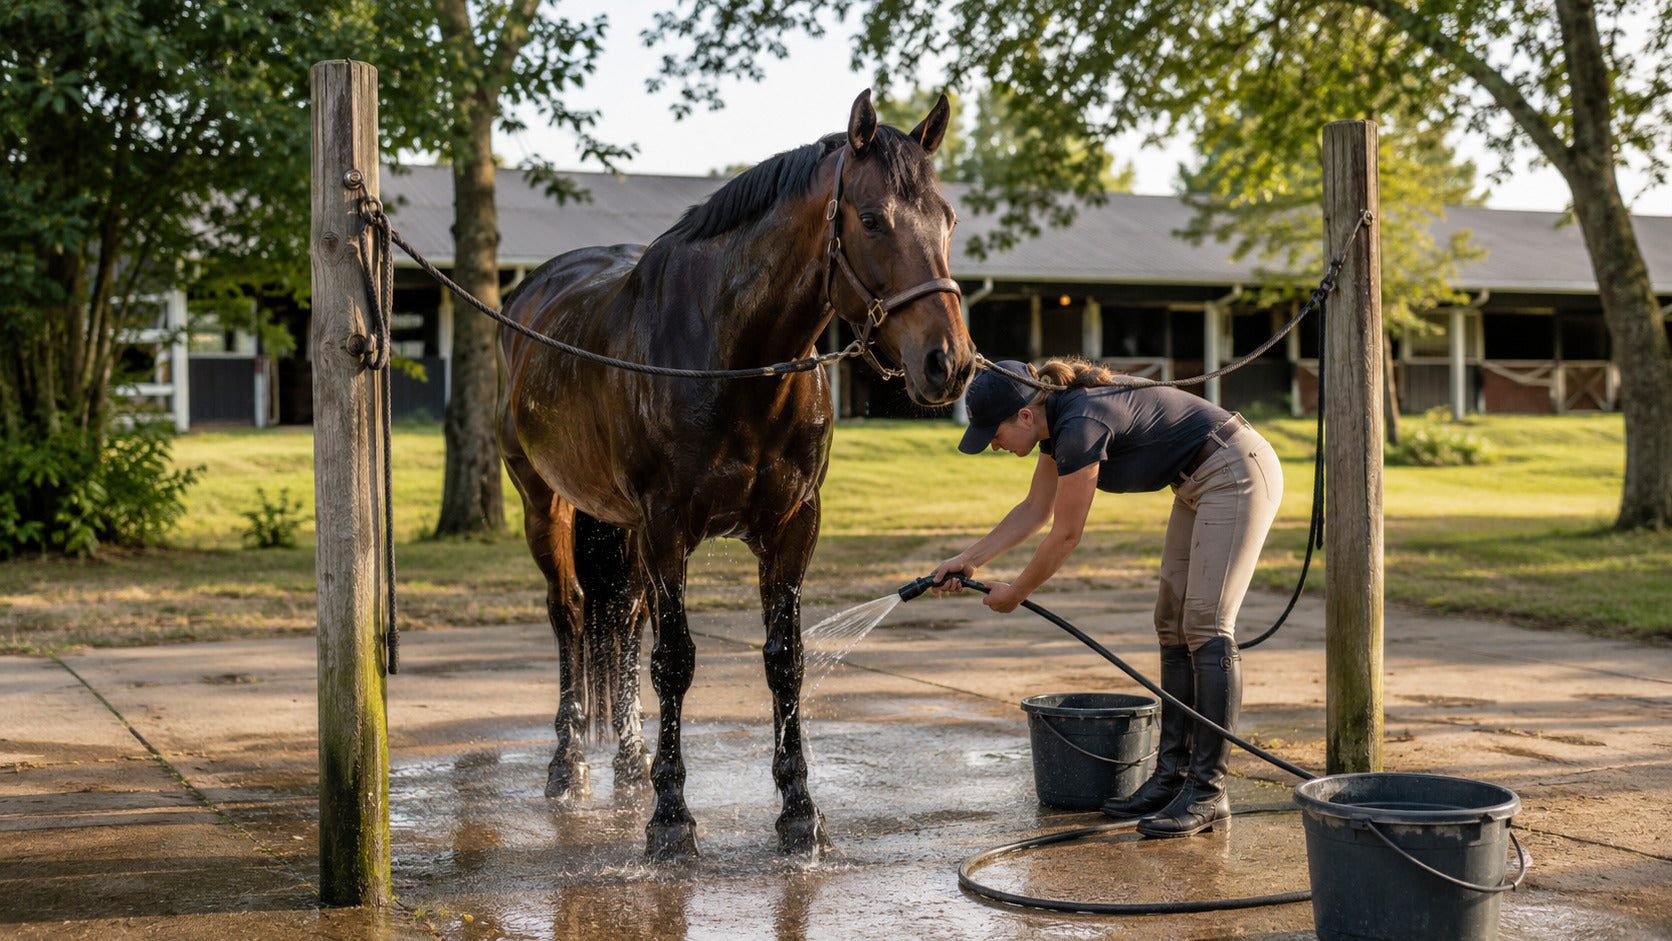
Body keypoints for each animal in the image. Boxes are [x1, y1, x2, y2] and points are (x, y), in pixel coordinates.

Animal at [495, 90, 976, 859]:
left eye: (948, 219)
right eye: (873, 219)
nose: (949, 362)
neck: (734, 356)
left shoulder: (792, 527)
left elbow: (786, 660)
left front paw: (800, 812)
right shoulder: (667, 528)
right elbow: (675, 661)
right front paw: (670, 817)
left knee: (623, 621)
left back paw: (629, 759)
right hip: (547, 505)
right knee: (570, 616)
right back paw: (568, 764)